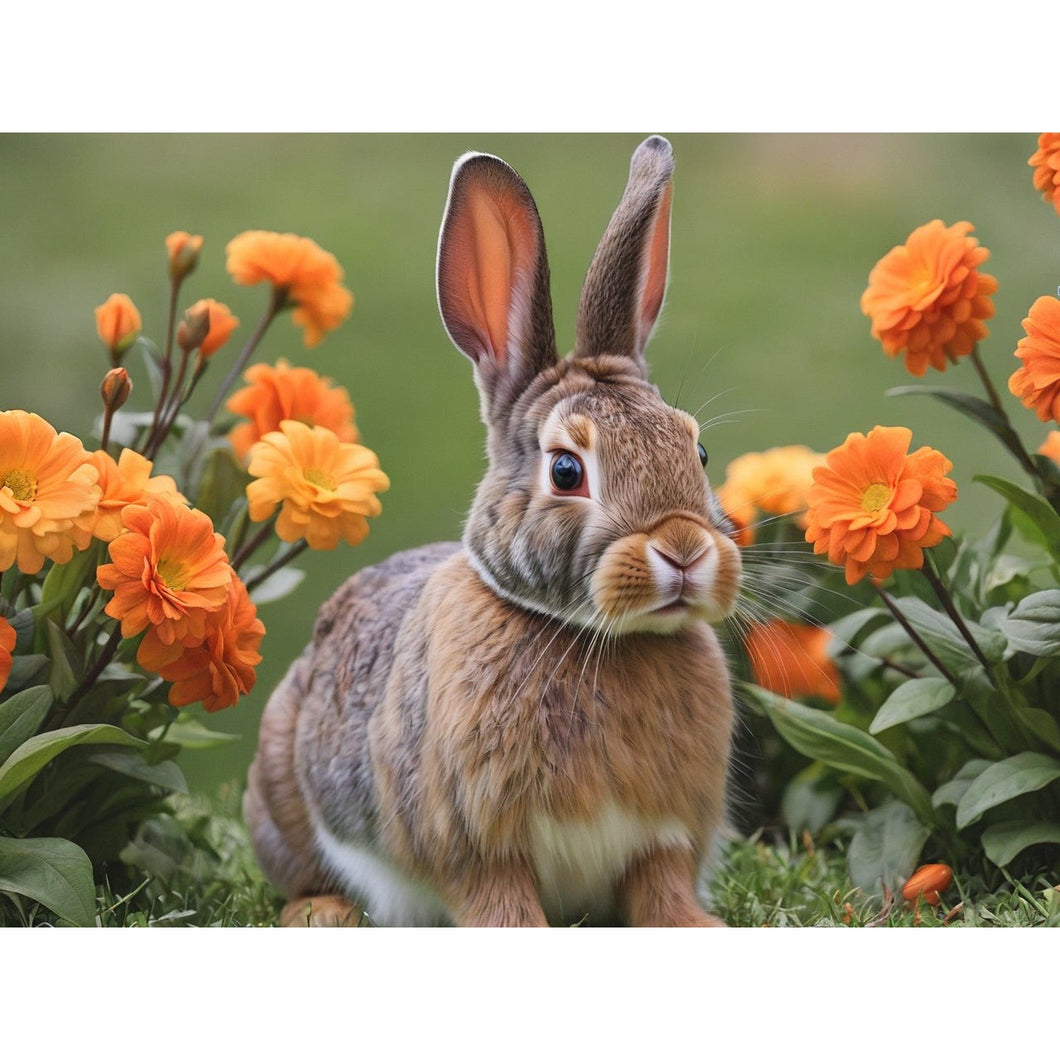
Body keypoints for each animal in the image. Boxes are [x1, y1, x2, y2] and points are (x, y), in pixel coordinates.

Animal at [242, 136, 741, 924]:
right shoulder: (479, 849)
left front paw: (698, 925)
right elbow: (501, 904)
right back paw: (321, 912)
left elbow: (661, 891)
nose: (686, 551)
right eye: (566, 470)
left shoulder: (660, 841)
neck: (592, 638)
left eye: (699, 453)